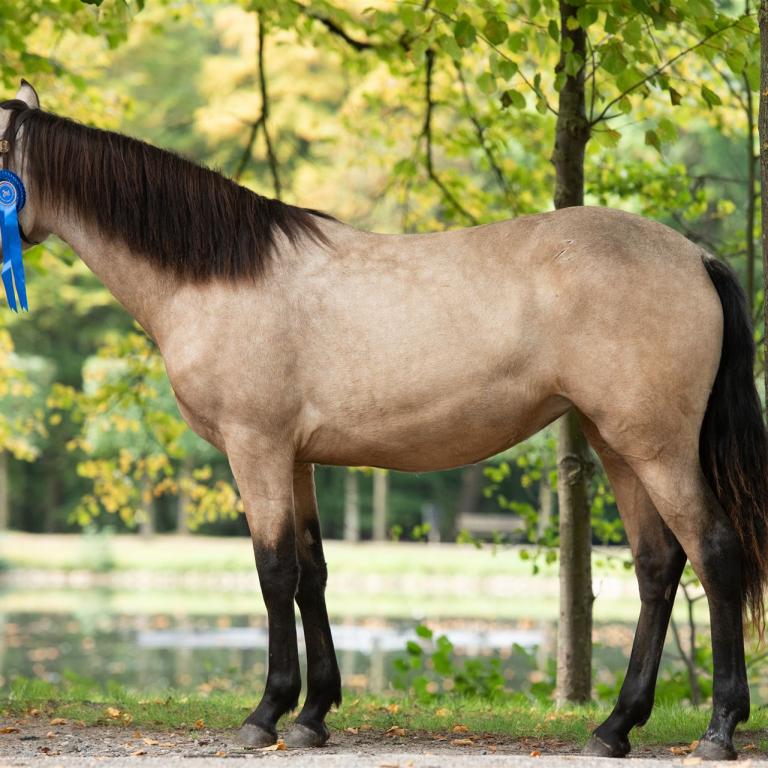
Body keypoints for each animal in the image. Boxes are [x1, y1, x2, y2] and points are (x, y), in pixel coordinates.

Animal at [1, 80, 766, 760]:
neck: (218, 277)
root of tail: (694, 256)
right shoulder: (297, 458)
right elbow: (311, 573)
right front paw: (312, 714)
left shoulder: (255, 449)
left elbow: (273, 572)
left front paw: (266, 713)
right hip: (618, 444)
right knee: (658, 566)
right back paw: (614, 726)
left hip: (657, 448)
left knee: (715, 553)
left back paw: (718, 730)